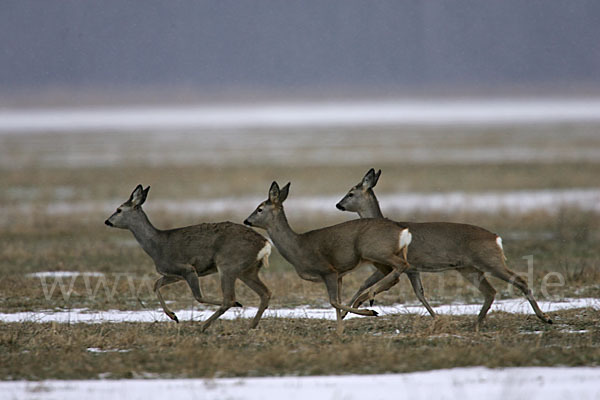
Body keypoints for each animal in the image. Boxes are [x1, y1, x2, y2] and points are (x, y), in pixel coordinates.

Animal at [105, 184, 272, 332]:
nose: (107, 221)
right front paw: (173, 316)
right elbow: (156, 285)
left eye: (119, 210)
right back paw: (251, 325)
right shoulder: (174, 274)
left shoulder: (187, 268)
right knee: (265, 293)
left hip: (228, 265)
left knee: (229, 299)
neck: (156, 246)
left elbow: (198, 297)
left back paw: (205, 325)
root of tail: (265, 244)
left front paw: (238, 304)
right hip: (247, 271)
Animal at [244, 181, 412, 334]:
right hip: (378, 258)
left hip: (375, 251)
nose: (246, 221)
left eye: (259, 209)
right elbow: (337, 301)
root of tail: (402, 231)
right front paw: (340, 330)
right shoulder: (339, 274)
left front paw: (369, 312)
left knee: (402, 265)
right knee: (394, 275)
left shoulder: (327, 270)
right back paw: (368, 296)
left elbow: (333, 302)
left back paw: (369, 296)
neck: (297, 248)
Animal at [338, 169, 552, 328]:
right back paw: (477, 322)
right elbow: (419, 293)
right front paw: (435, 318)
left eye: (350, 193)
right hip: (468, 268)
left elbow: (366, 285)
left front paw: (351, 308)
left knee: (519, 280)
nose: (338, 204)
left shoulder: (393, 265)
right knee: (490, 291)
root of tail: (496, 238)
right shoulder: (412, 269)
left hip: (489, 260)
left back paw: (545, 317)